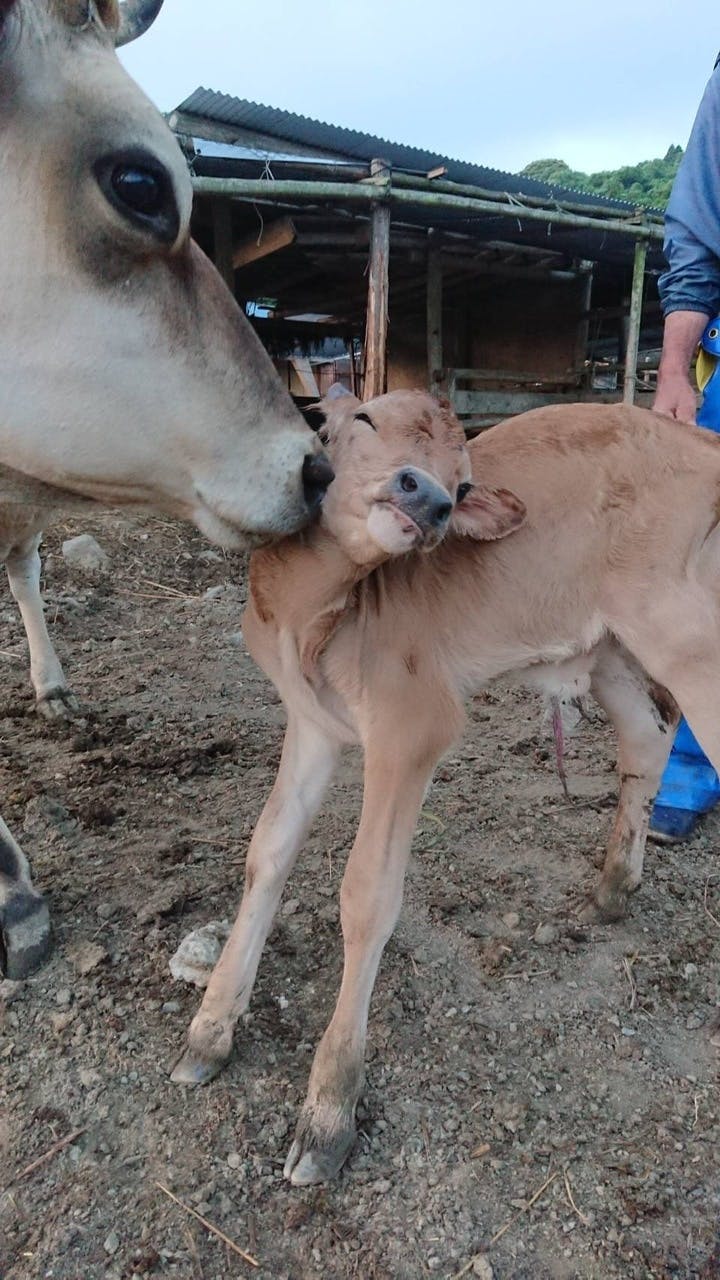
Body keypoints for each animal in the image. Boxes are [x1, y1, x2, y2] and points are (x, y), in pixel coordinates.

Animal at [172, 389, 720, 1185]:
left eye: (461, 486)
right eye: (364, 420)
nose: (426, 497)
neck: (313, 618)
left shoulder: (412, 726)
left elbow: (367, 894)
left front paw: (329, 1109)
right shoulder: (312, 723)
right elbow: (267, 851)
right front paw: (210, 1030)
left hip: (692, 641)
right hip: (611, 647)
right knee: (646, 739)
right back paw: (615, 887)